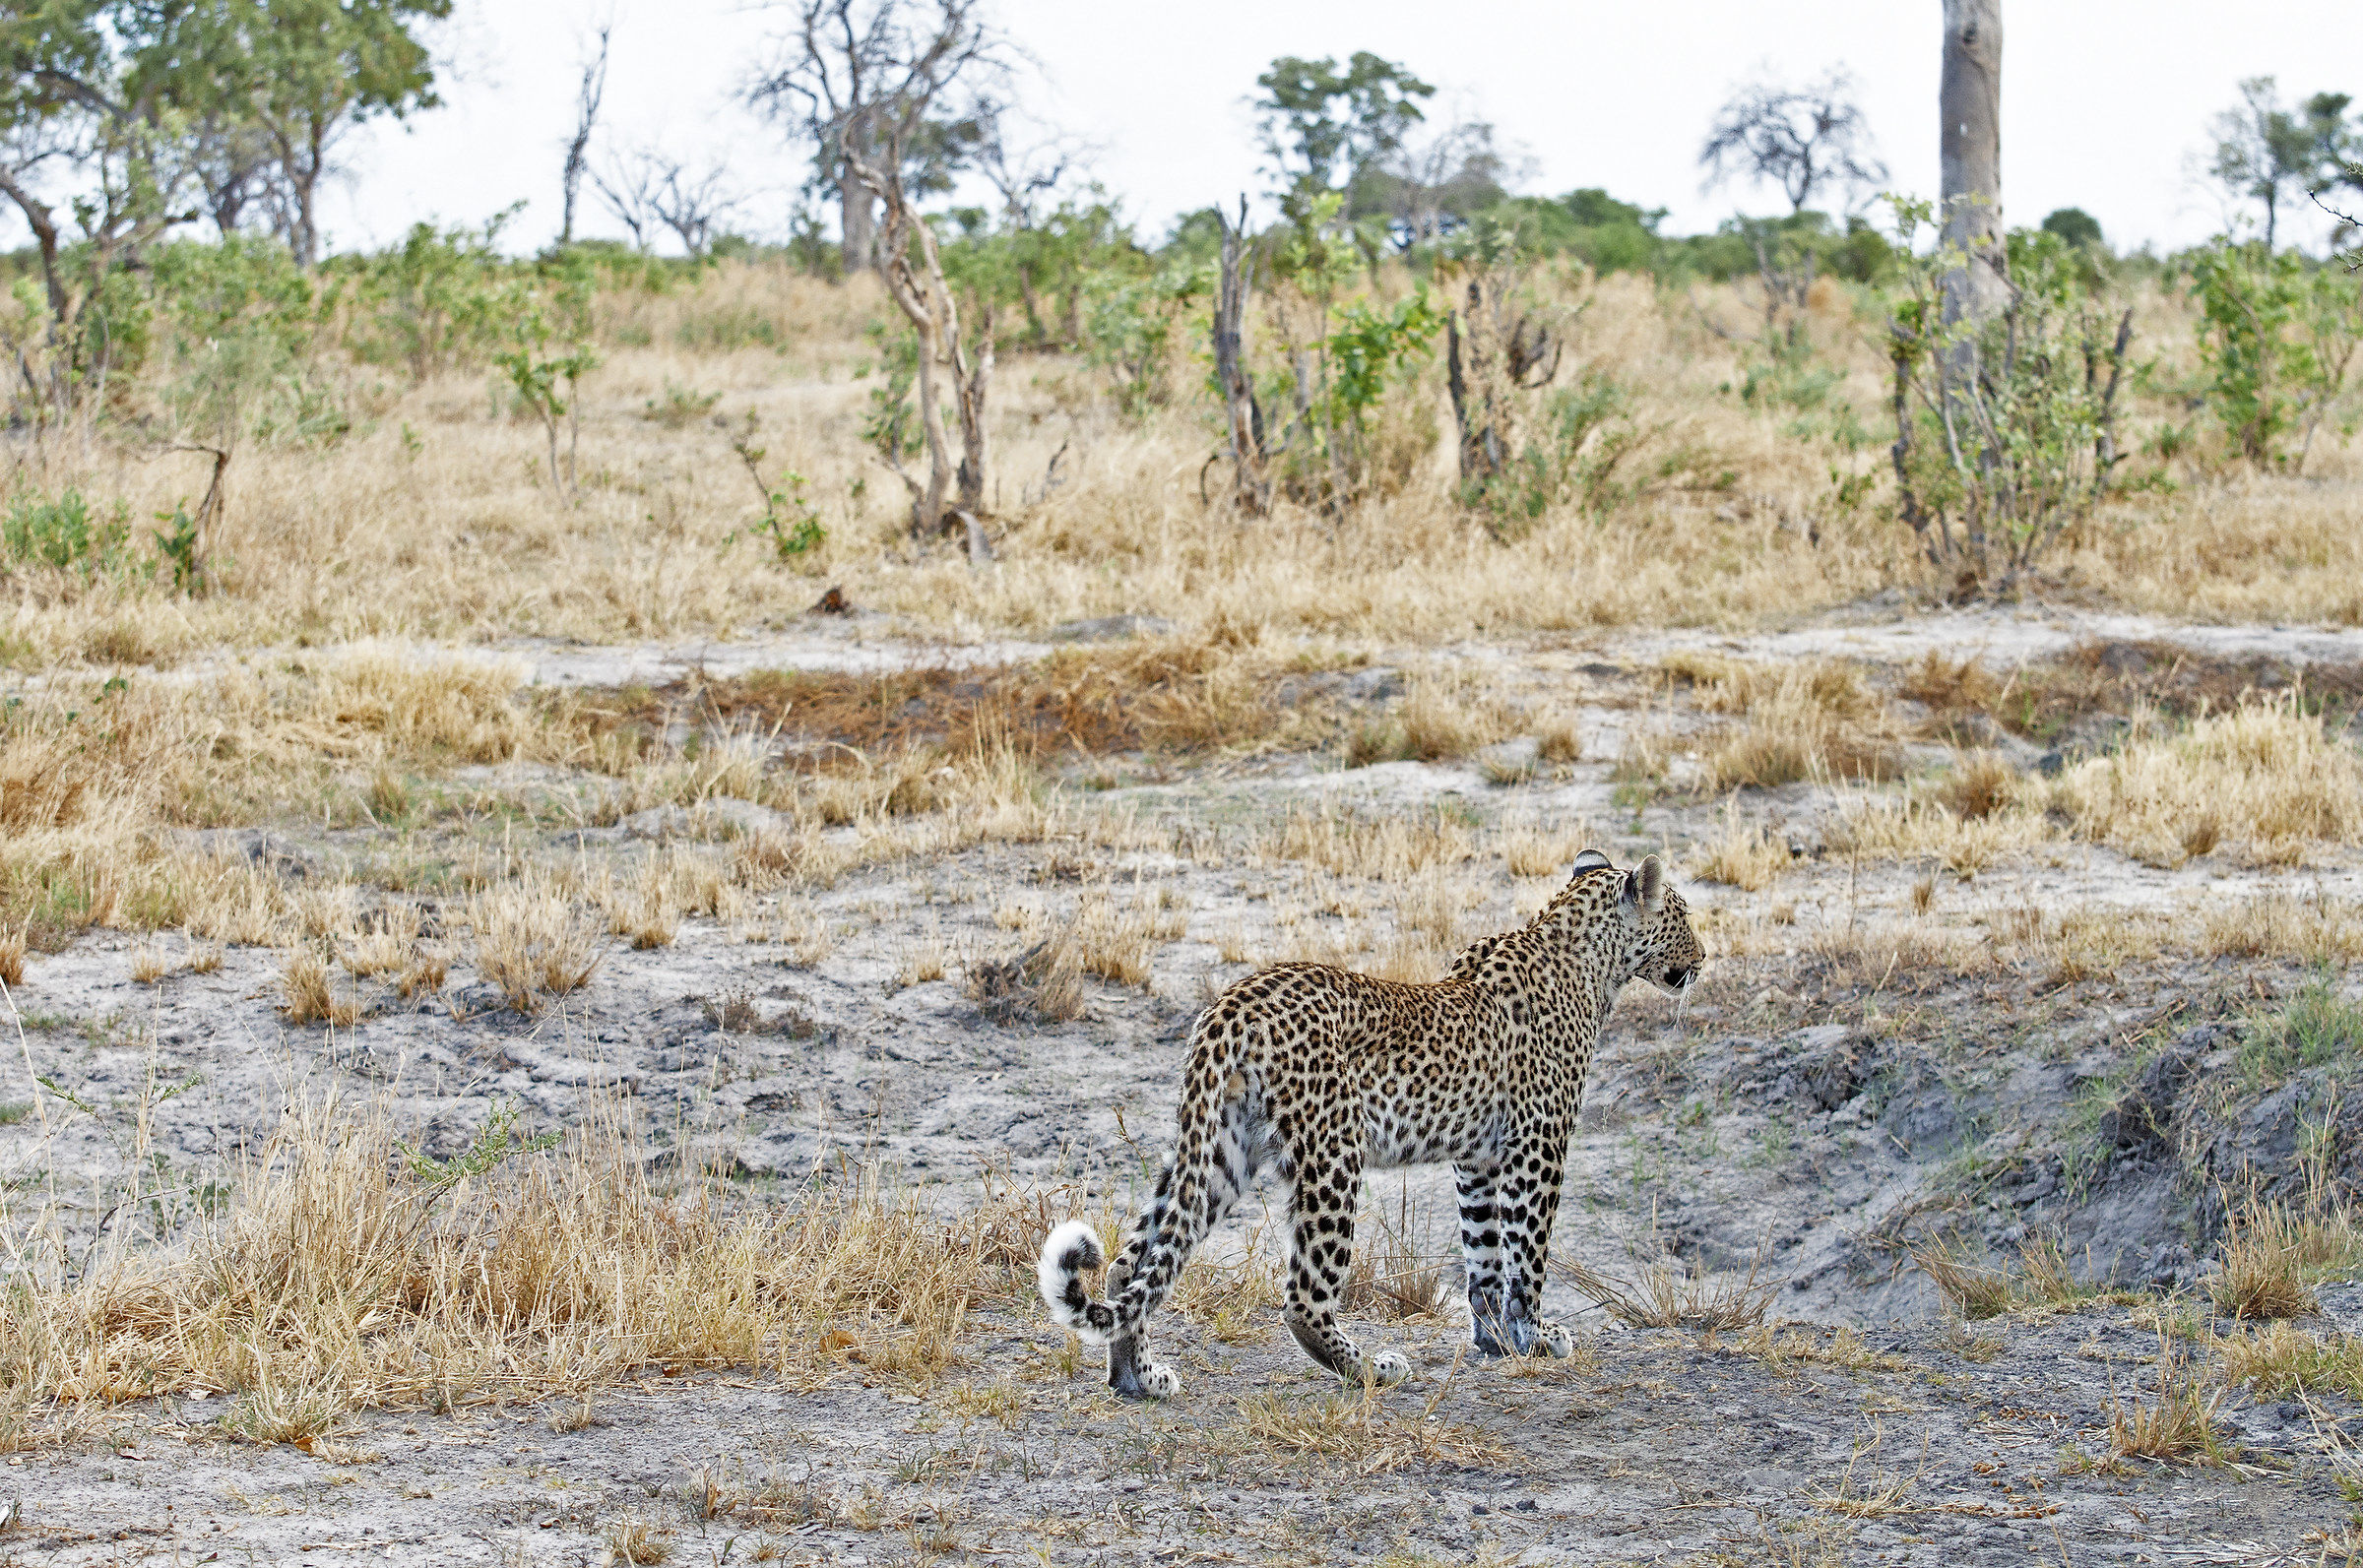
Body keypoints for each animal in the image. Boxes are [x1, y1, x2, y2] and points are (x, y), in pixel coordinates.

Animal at [1037, 848, 1703, 1399]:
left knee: (1132, 1264)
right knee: (1302, 1297)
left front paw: (1495, 1339)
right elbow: (1527, 1256)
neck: (1587, 959)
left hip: (1221, 1149)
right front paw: (1536, 1337)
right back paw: (1373, 1370)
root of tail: (1230, 1006)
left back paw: (1136, 1377)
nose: (1703, 960)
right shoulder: (1537, 1149)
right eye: (1684, 918)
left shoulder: (1478, 1161)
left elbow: (1485, 1253)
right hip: (1333, 1153)